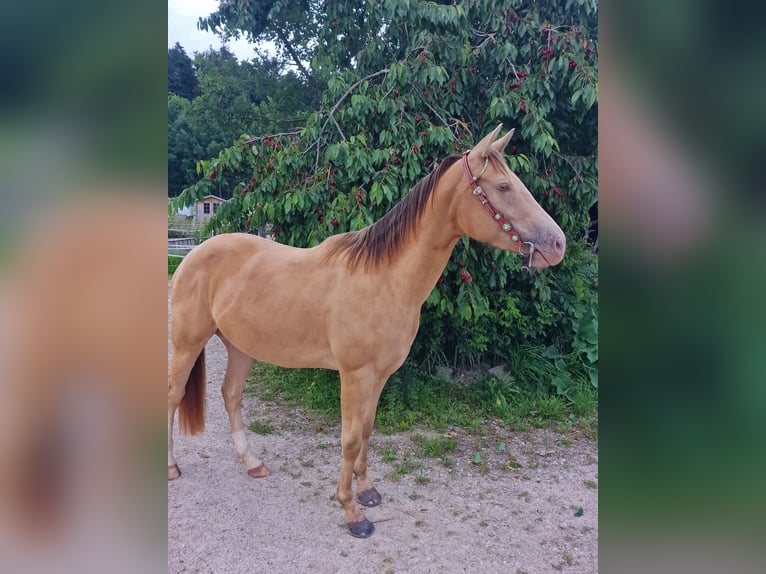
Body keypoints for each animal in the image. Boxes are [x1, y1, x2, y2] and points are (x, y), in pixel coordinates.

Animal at [166, 125, 564, 540]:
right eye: (503, 186)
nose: (558, 244)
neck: (385, 280)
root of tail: (193, 253)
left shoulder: (380, 375)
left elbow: (369, 431)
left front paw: (367, 491)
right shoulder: (355, 375)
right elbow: (351, 438)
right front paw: (351, 511)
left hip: (240, 347)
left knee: (231, 395)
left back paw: (252, 462)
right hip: (187, 343)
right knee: (174, 395)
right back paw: (172, 467)